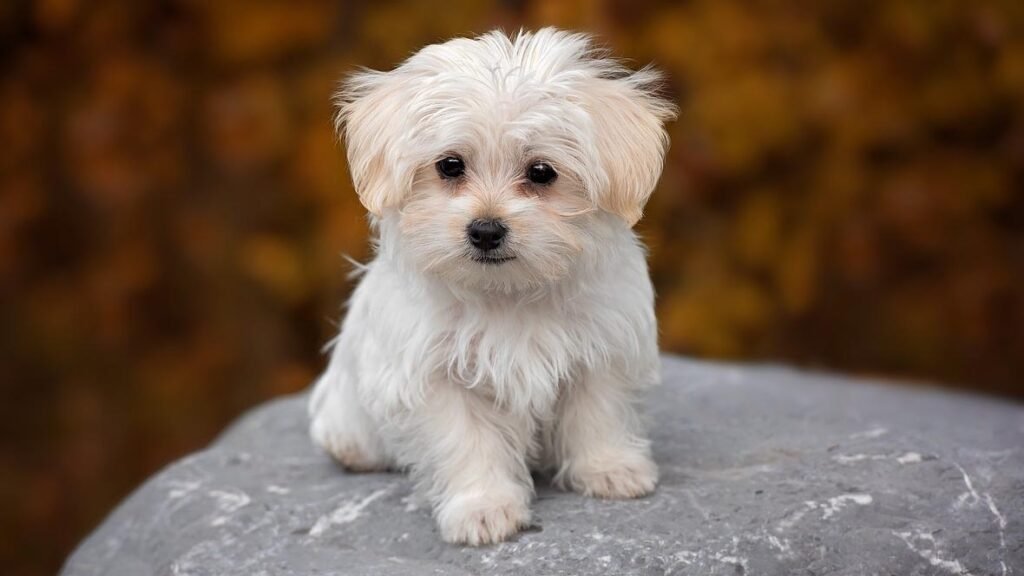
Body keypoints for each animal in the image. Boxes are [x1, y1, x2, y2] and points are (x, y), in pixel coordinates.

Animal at [309, 28, 679, 541]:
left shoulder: (601, 345)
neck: (508, 292)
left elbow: (597, 412)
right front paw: (482, 507)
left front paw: (609, 468)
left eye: (541, 172)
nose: (485, 230)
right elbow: (467, 441)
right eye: (450, 165)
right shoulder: (435, 374)